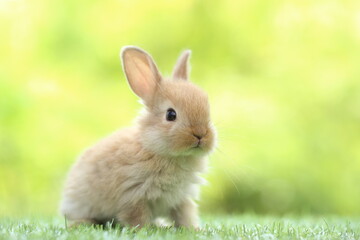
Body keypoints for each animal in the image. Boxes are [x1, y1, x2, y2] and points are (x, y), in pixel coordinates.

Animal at [59, 46, 217, 228]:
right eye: (171, 115)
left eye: (208, 113)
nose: (201, 134)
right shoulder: (133, 195)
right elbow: (137, 218)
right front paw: (143, 230)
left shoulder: (181, 198)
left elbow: (185, 216)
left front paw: (193, 229)